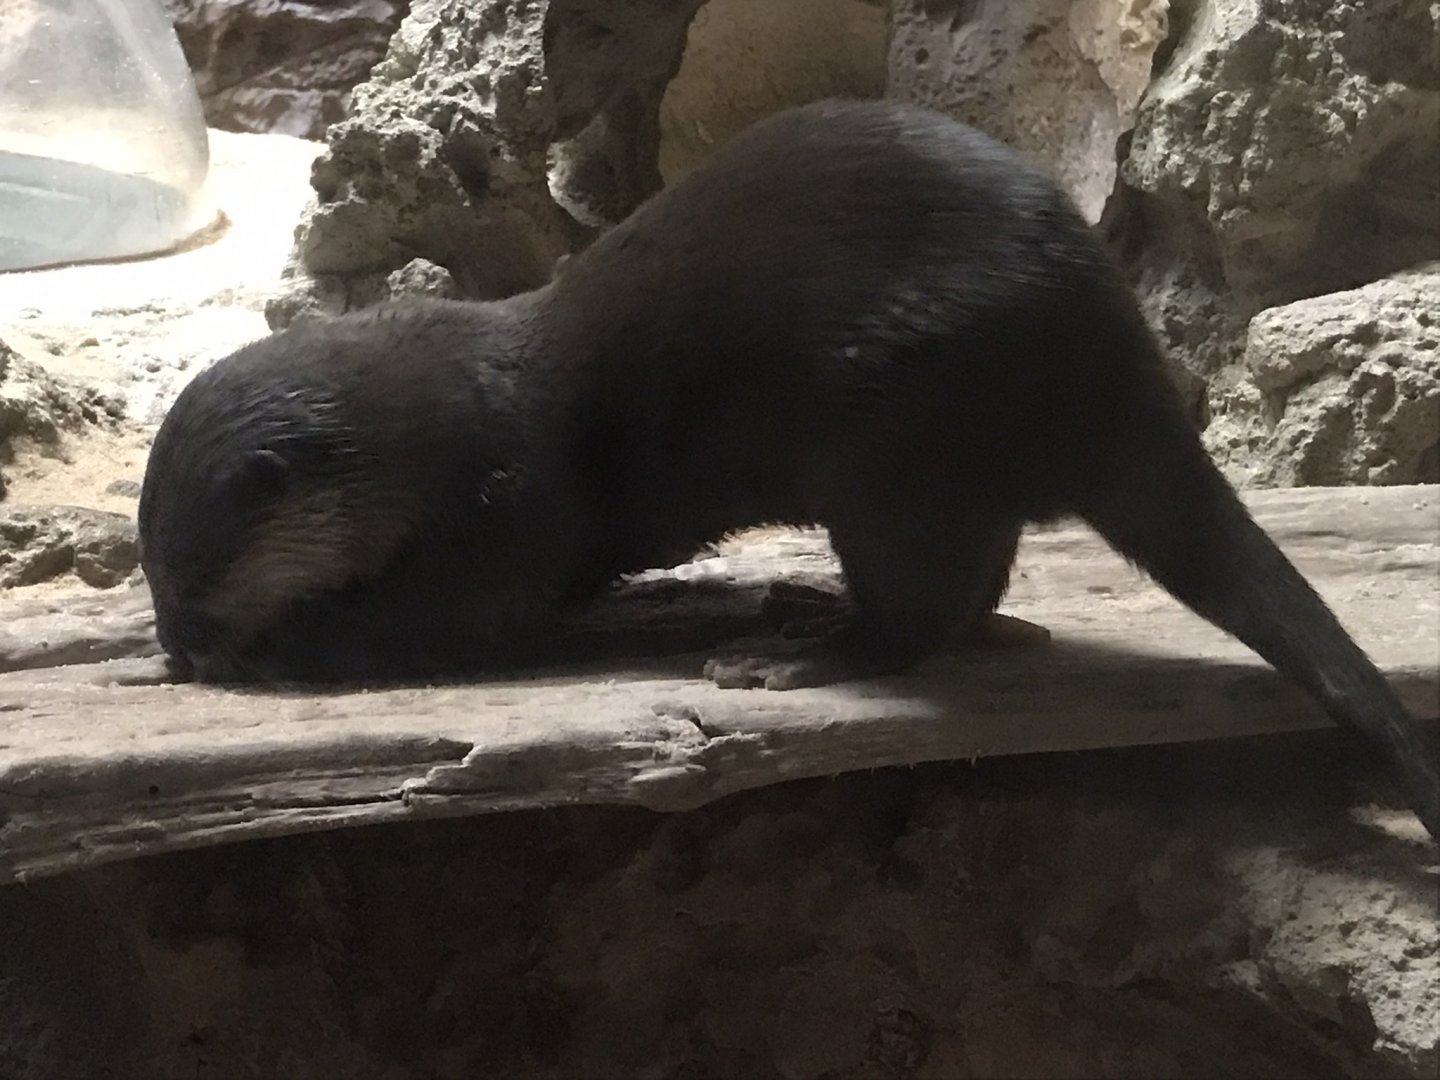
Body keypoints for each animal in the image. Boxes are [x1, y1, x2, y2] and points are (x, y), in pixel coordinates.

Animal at [138, 99, 1439, 839]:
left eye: (194, 583)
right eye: (154, 579)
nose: (178, 647)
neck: (439, 416)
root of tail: (1112, 364)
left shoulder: (507, 508)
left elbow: (455, 613)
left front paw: (277, 648)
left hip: (894, 441)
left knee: (922, 610)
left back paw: (799, 652)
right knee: (976, 592)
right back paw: (808, 605)